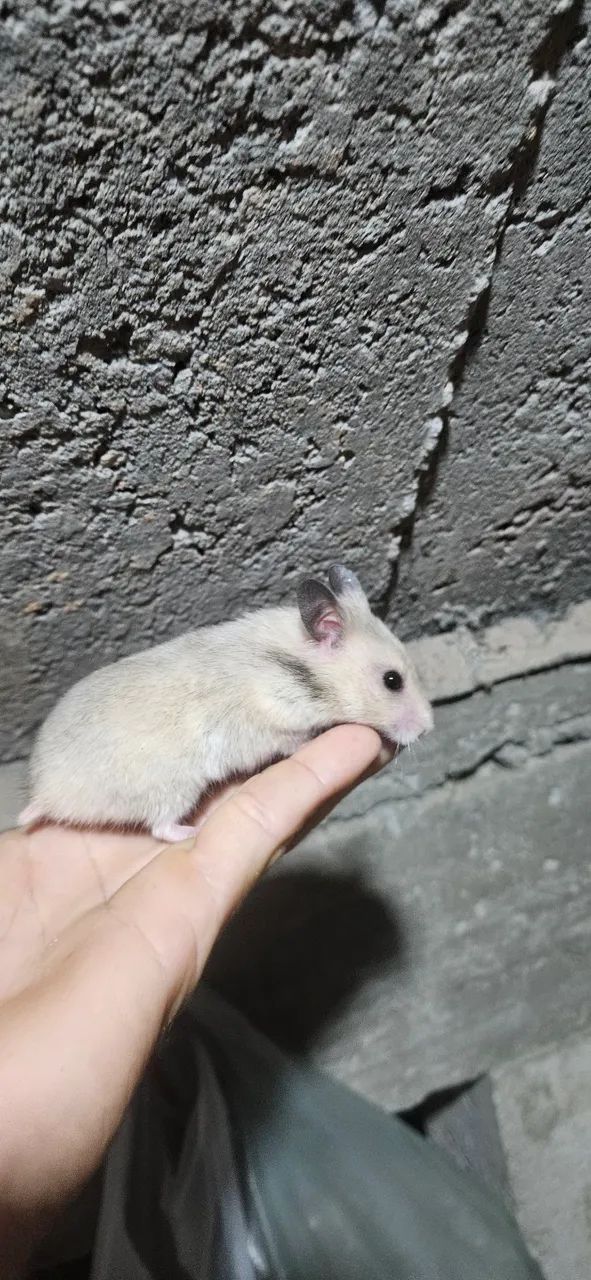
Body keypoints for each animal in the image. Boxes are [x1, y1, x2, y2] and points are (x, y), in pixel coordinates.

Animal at [19, 565, 433, 842]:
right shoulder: (277, 721)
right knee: (160, 829)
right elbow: (295, 738)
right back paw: (192, 832)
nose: (429, 728)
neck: (295, 669)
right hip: (173, 788)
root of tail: (47, 794)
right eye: (392, 681)